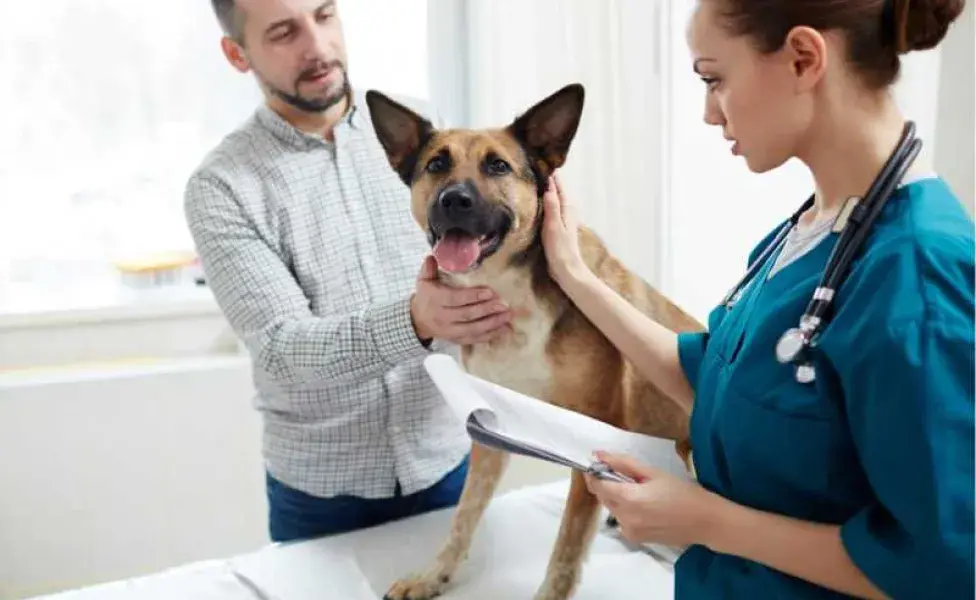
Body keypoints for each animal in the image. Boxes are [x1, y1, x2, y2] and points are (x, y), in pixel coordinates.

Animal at [364, 84, 700, 600]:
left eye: (498, 166)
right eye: (437, 164)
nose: (454, 200)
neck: (509, 292)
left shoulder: (592, 438)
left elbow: (565, 550)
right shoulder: (491, 427)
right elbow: (462, 518)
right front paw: (432, 576)